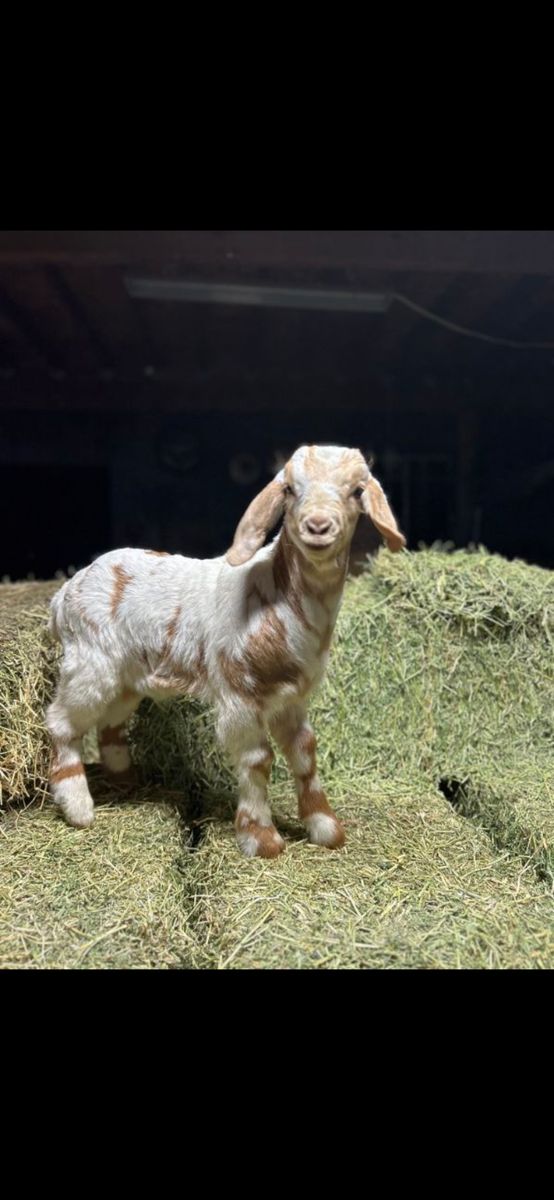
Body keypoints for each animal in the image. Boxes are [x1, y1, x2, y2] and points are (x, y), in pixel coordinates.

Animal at [46, 444, 405, 857]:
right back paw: (77, 807)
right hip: (91, 664)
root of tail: (66, 592)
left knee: (110, 723)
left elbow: (304, 752)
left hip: (128, 678)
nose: (317, 525)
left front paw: (325, 827)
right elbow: (258, 759)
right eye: (290, 489)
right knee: (62, 721)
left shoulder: (290, 698)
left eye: (357, 491)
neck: (277, 600)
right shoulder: (240, 695)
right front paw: (261, 837)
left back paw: (125, 783)